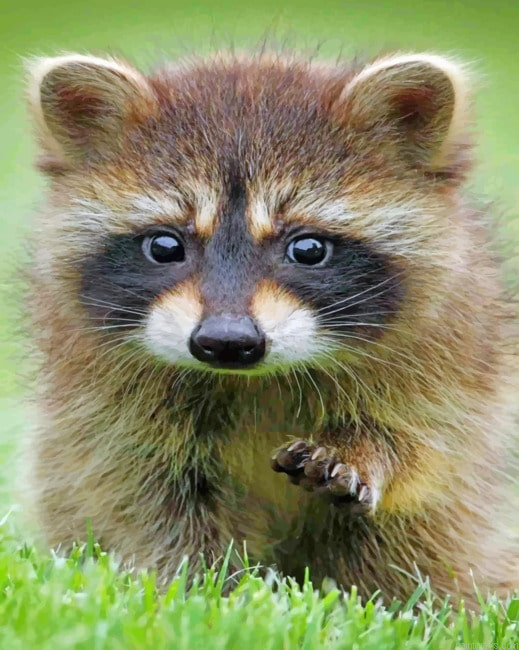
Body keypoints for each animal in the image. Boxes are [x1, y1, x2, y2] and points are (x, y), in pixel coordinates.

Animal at [24, 49, 518, 606]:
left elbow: (425, 443)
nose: (226, 342)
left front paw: (364, 449)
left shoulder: (452, 350)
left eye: (308, 248)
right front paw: (205, 590)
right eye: (165, 246)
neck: (253, 381)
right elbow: (148, 497)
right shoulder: (104, 404)